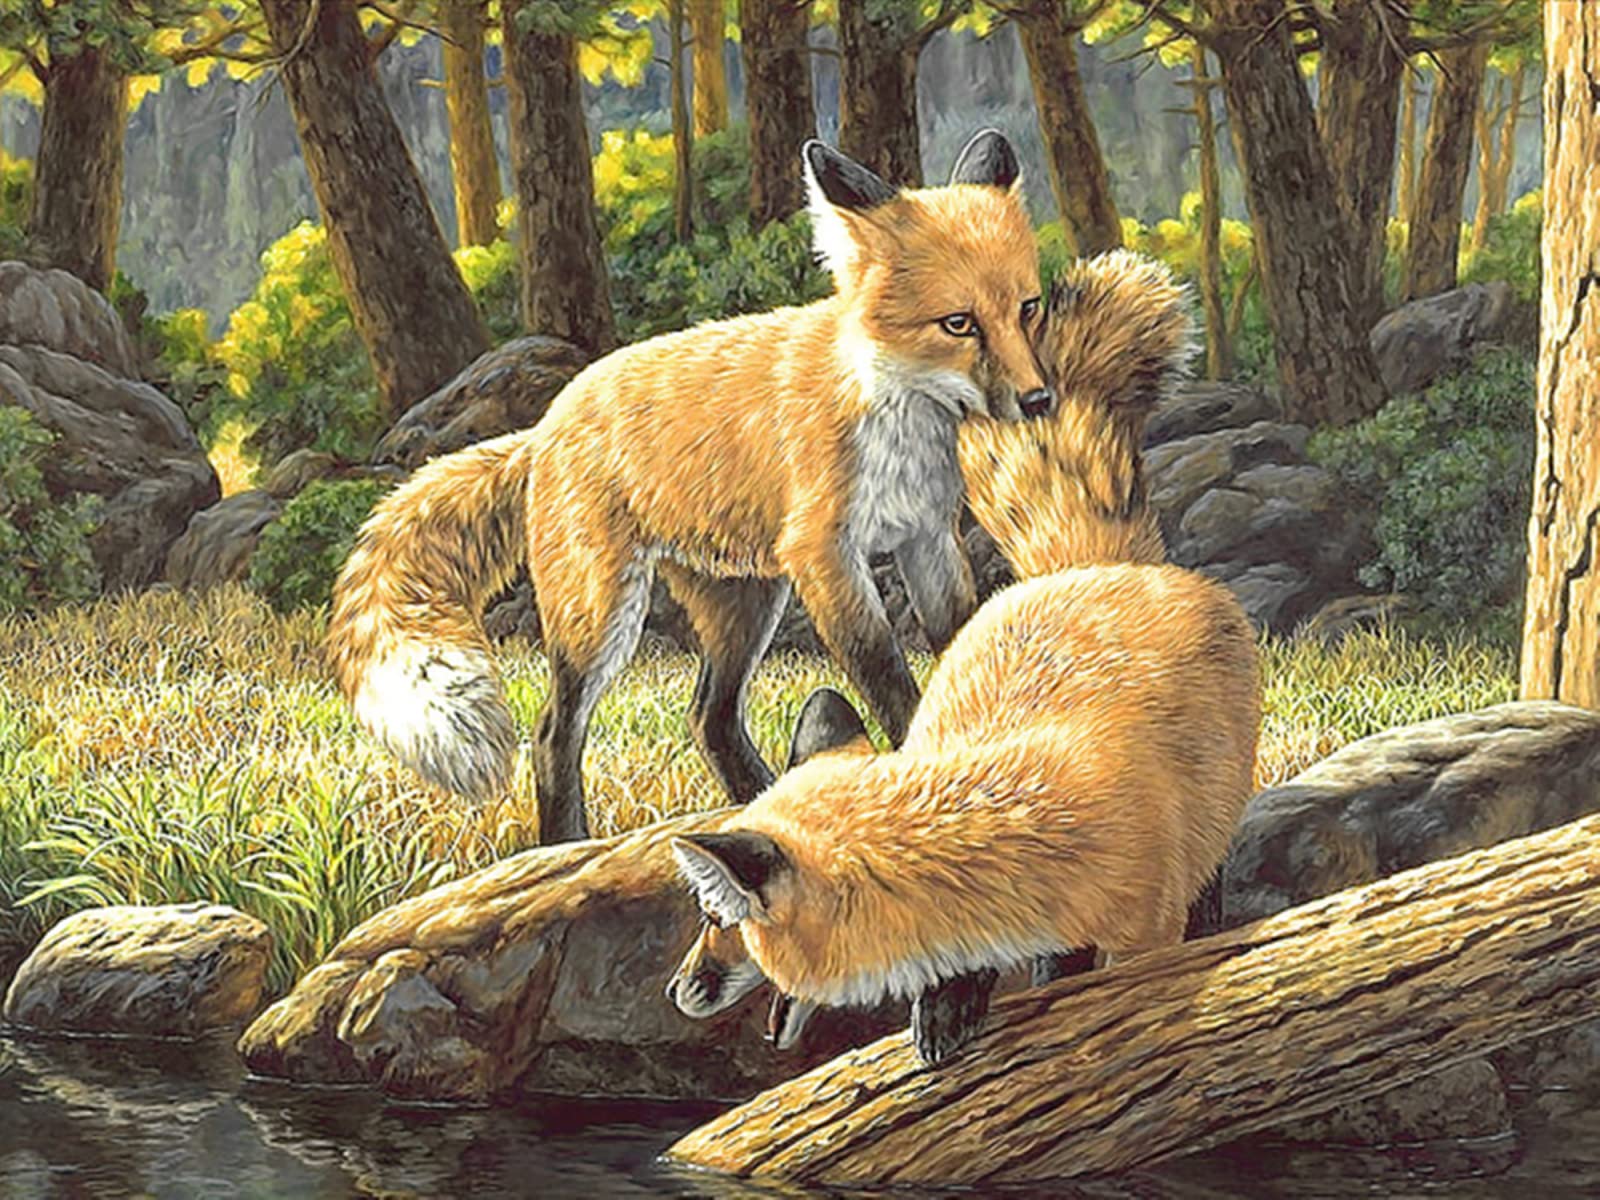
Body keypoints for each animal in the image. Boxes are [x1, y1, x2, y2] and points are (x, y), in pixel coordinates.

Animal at [325, 129, 1054, 844]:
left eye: (1028, 309)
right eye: (958, 324)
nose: (1039, 400)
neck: (897, 419)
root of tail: (544, 427)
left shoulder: (927, 539)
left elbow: (962, 638)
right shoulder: (825, 556)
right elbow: (890, 680)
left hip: (746, 603)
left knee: (709, 717)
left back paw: (754, 808)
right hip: (603, 614)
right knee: (555, 732)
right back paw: (567, 840)